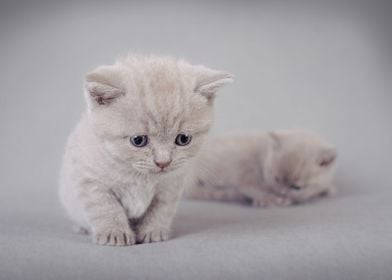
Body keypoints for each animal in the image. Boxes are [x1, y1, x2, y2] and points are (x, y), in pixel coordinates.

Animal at [58, 54, 233, 245]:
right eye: (138, 140)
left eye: (183, 139)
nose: (163, 162)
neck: (140, 177)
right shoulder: (90, 180)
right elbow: (106, 207)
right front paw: (115, 232)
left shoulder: (171, 186)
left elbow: (160, 210)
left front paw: (153, 231)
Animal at [187, 130, 336, 207]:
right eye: (276, 179)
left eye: (296, 187)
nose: (282, 193)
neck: (264, 153)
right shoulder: (242, 166)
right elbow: (250, 186)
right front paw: (269, 198)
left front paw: (328, 190)